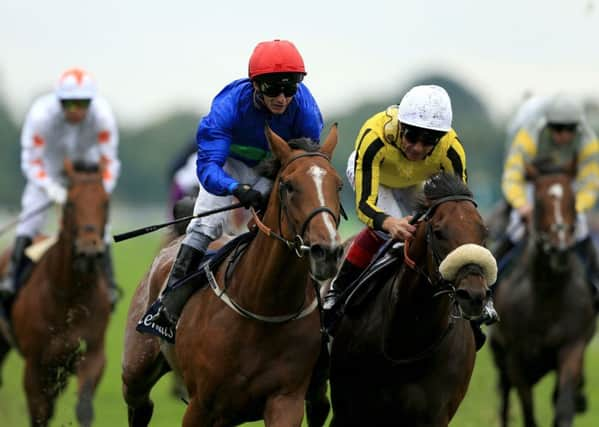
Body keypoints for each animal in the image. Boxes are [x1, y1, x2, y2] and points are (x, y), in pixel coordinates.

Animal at [0, 161, 112, 427]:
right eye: (70, 203)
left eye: (106, 202)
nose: (89, 252)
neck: (70, 296)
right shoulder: (35, 363)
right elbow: (39, 414)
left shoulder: (92, 352)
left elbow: (84, 408)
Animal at [123, 125, 342, 426]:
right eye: (288, 186)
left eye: (338, 185)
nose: (328, 251)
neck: (264, 305)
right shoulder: (200, 405)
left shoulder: (286, 400)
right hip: (136, 366)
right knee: (140, 403)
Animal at [490, 161, 596, 427]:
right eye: (538, 201)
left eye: (573, 199)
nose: (560, 249)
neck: (547, 294)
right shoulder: (515, 356)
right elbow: (528, 413)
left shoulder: (573, 345)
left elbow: (564, 407)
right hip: (500, 357)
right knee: (504, 401)